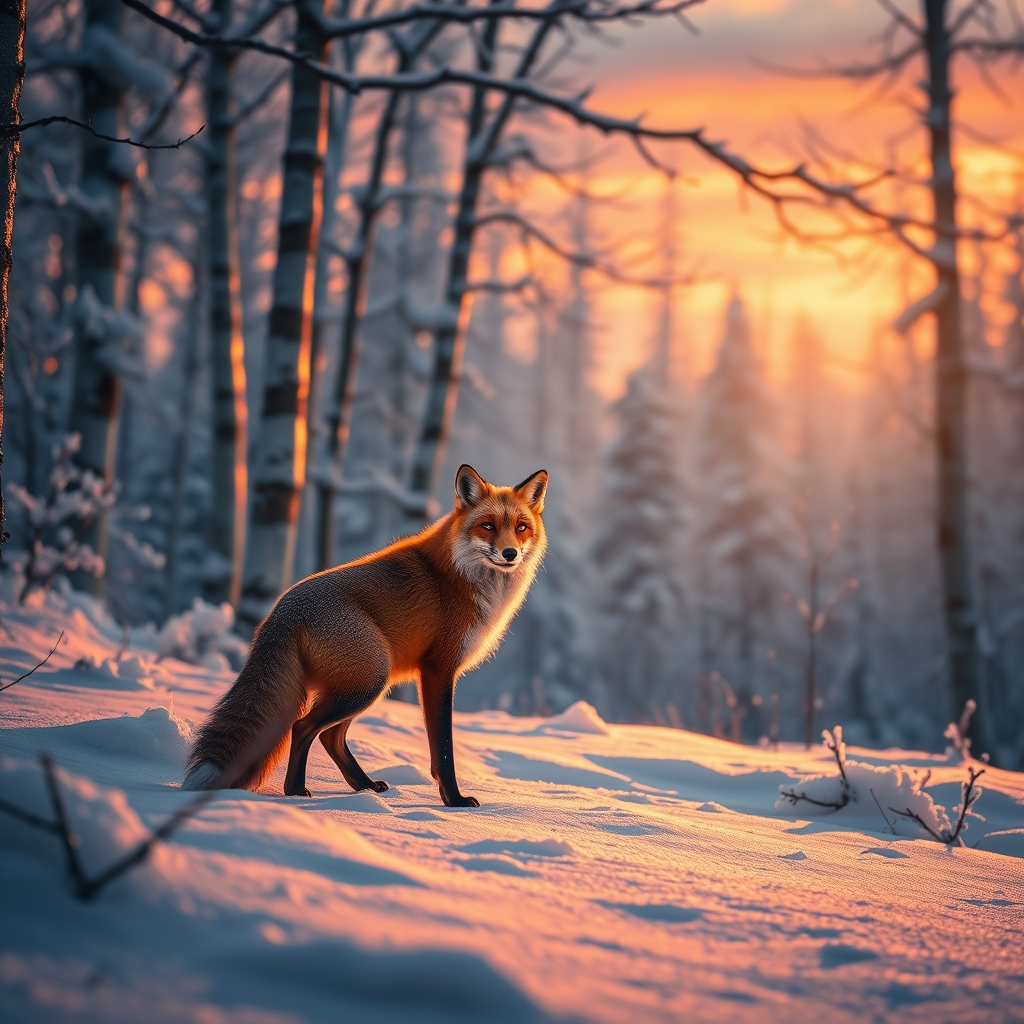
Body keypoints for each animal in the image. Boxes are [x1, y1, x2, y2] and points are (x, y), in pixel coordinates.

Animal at [182, 464, 548, 807]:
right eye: (487, 526)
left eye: (521, 528)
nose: (510, 554)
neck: (463, 574)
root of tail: (280, 611)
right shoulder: (438, 669)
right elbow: (443, 749)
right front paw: (454, 801)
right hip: (369, 681)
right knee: (303, 726)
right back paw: (296, 791)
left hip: (364, 683)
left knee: (330, 737)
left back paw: (365, 787)